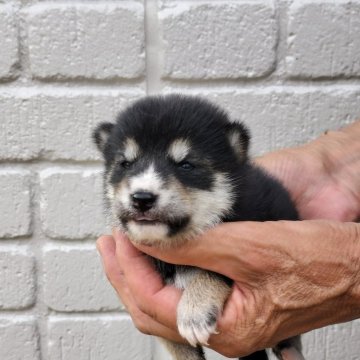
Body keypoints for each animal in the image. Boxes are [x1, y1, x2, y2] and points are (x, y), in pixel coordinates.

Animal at [93, 95, 304, 360]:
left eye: (185, 165)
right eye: (125, 163)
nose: (141, 198)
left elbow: (213, 271)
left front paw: (195, 311)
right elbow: (180, 349)